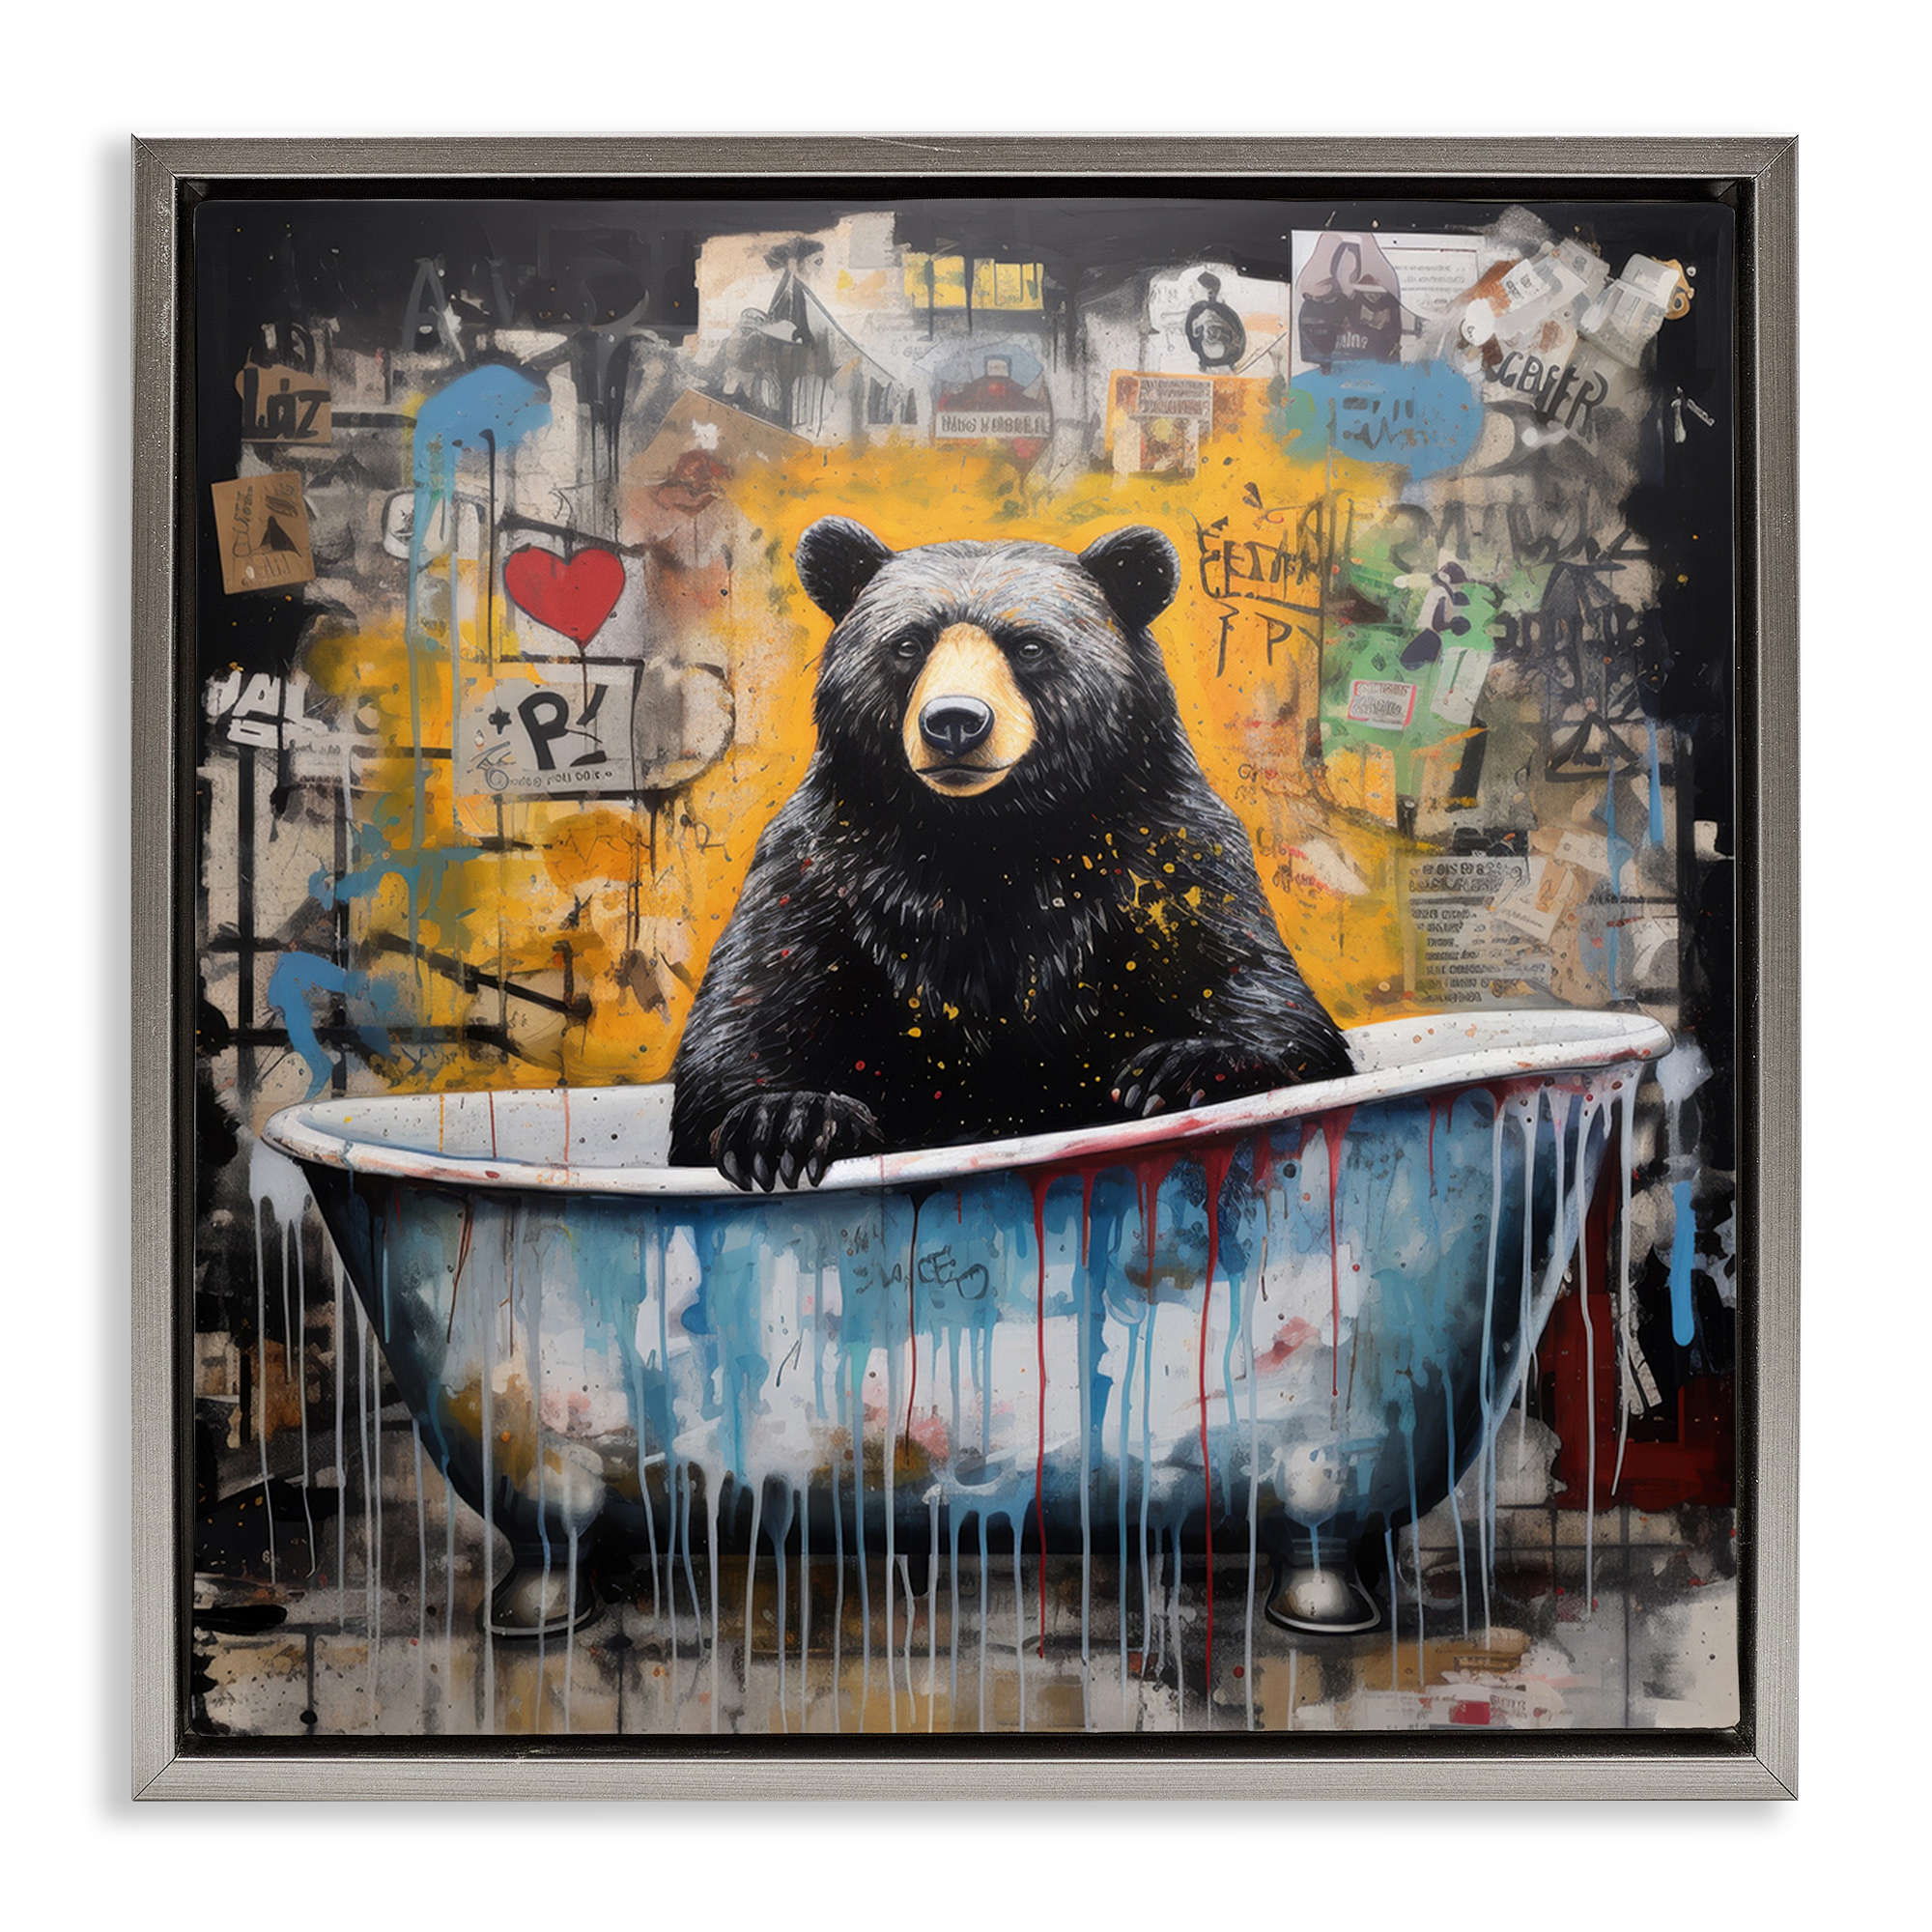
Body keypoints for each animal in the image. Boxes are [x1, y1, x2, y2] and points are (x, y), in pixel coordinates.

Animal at [667, 518, 1352, 1188]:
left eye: (1029, 646)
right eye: (908, 644)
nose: (955, 722)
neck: (992, 835)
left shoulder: (1165, 857)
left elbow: (1257, 984)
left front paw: (1182, 1068)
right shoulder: (825, 871)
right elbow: (749, 1009)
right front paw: (786, 1119)